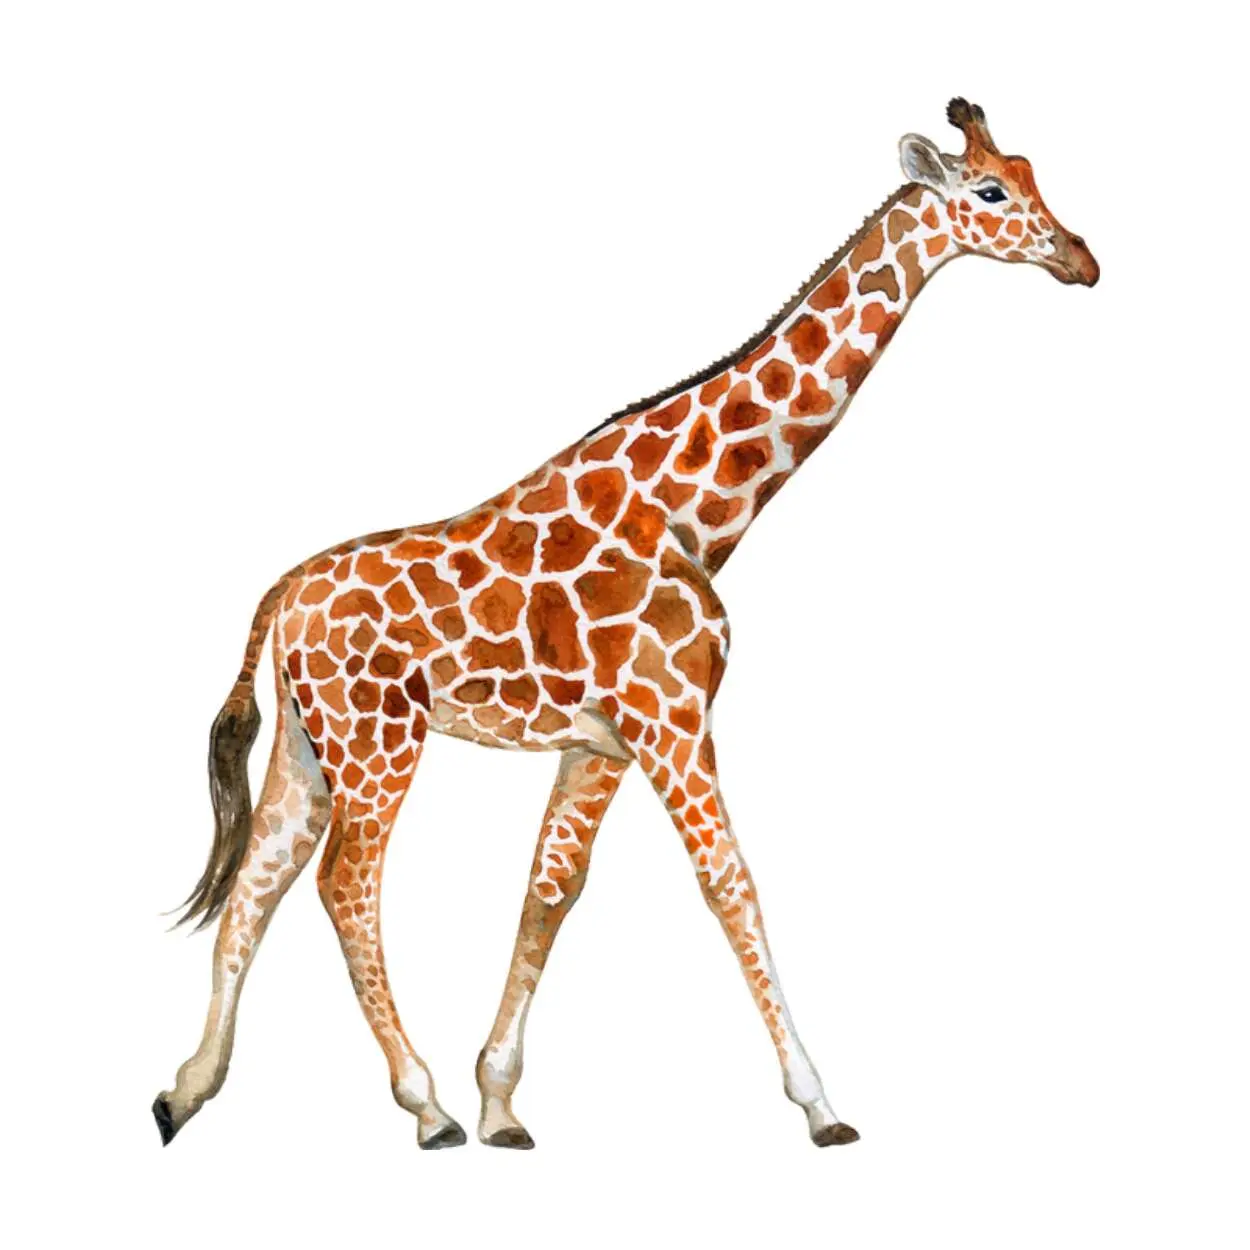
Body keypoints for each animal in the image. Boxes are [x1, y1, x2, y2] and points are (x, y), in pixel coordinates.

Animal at [154, 98, 1098, 1151]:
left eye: (1032, 171)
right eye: (993, 191)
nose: (1082, 259)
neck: (698, 509)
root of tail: (279, 598)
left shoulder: (600, 743)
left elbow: (549, 891)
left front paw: (501, 1101)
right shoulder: (673, 718)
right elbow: (730, 883)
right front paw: (820, 1105)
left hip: (307, 746)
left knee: (257, 885)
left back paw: (186, 1092)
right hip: (379, 740)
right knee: (343, 886)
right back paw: (423, 1105)